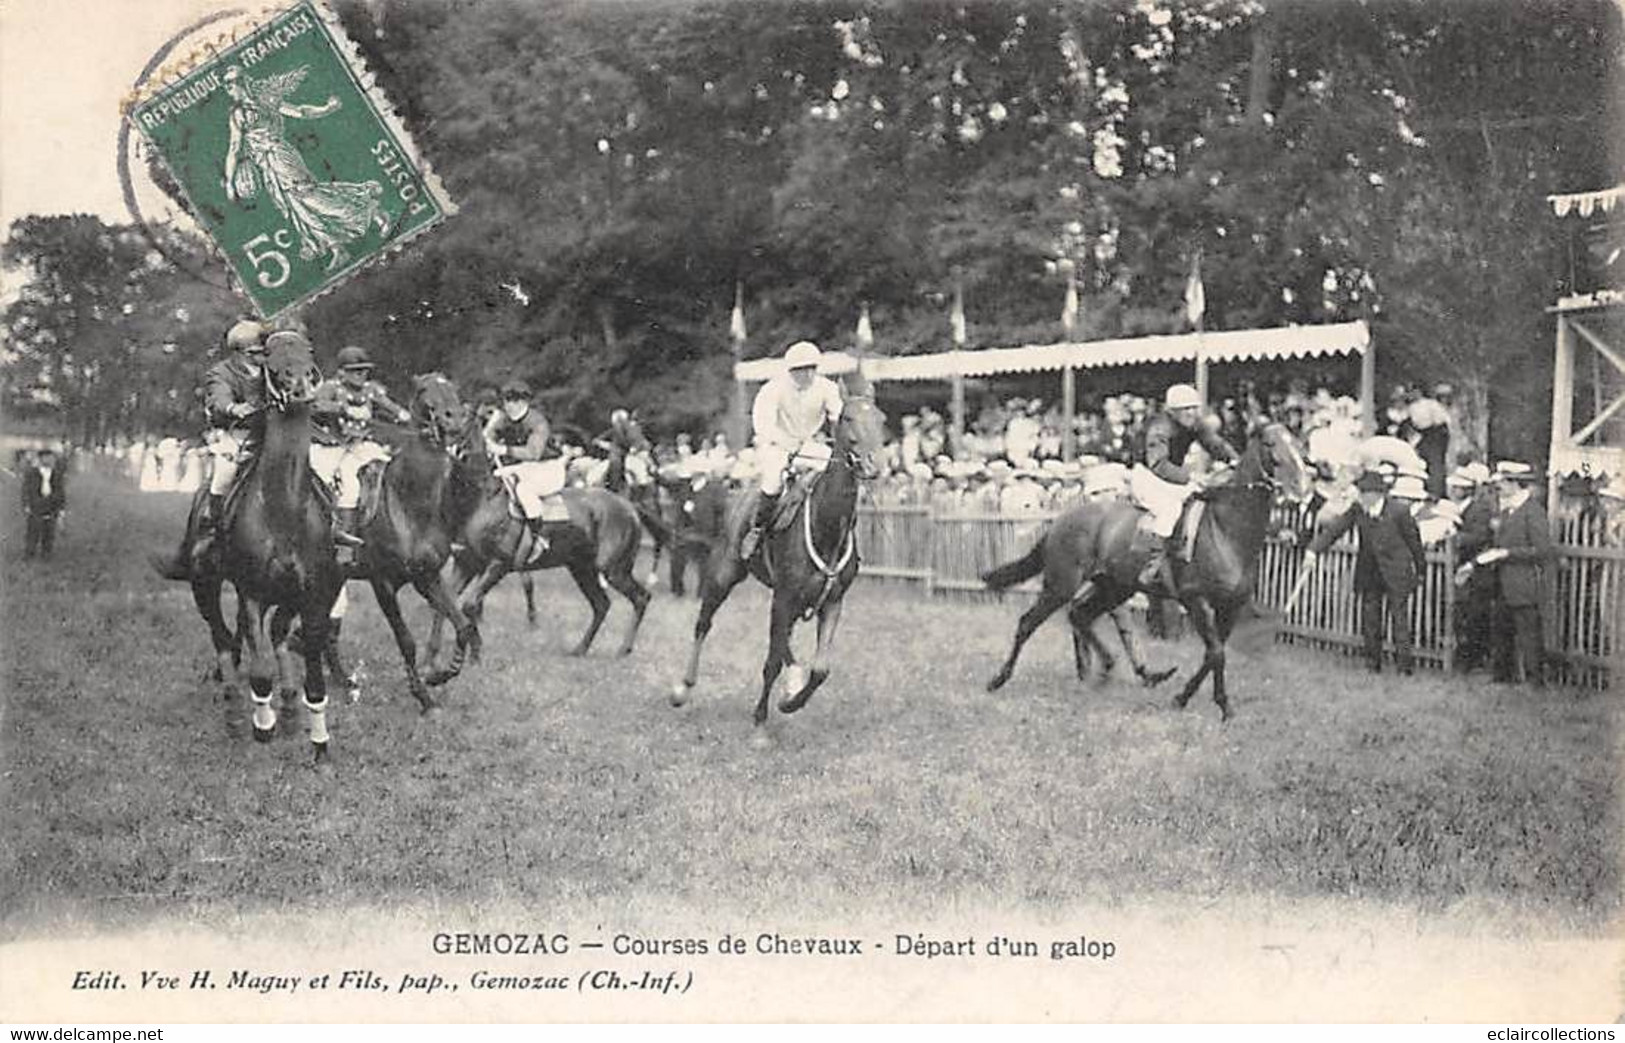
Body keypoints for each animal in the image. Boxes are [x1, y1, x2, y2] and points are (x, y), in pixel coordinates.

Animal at [155, 333, 346, 753]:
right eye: (271, 358)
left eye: (307, 353)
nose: (302, 388)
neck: (283, 507)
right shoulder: (252, 592)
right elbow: (259, 672)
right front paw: (263, 726)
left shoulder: (310, 594)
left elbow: (312, 673)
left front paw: (318, 739)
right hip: (205, 585)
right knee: (224, 640)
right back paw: (235, 710)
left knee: (273, 636)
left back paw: (288, 706)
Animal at [354, 372, 484, 708]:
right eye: (424, 389)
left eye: (454, 390)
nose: (453, 420)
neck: (410, 503)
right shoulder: (382, 582)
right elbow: (406, 641)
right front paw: (423, 697)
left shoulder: (427, 577)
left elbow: (462, 626)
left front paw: (439, 675)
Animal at [663, 370, 884, 727]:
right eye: (848, 418)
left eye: (881, 419)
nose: (873, 465)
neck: (825, 526)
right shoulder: (785, 598)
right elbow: (771, 663)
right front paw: (760, 721)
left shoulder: (831, 601)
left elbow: (820, 669)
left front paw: (792, 701)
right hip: (724, 575)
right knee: (703, 624)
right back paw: (683, 688)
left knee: (784, 643)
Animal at [975, 419, 1306, 718]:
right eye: (1271, 444)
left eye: (1297, 444)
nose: (1300, 486)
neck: (1226, 530)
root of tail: (1061, 519)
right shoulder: (1196, 600)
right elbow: (1216, 654)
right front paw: (1223, 706)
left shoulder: (1231, 608)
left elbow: (1212, 655)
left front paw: (1183, 698)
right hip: (1060, 584)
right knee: (1028, 623)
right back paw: (998, 679)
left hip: (1114, 586)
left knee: (1080, 616)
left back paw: (1111, 670)